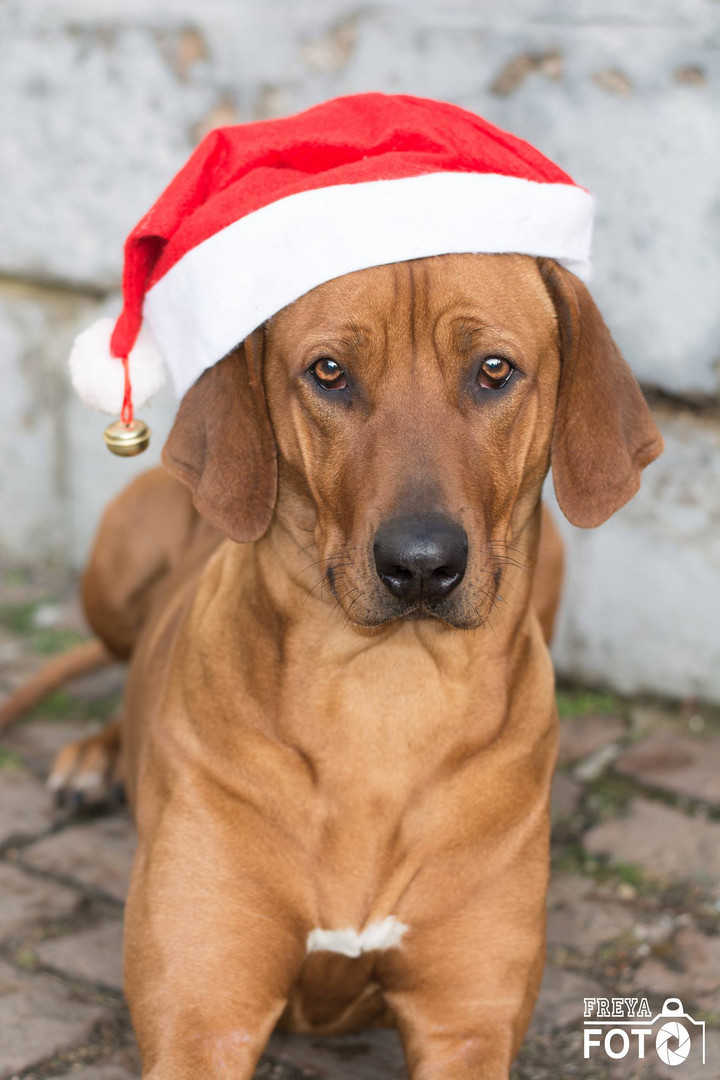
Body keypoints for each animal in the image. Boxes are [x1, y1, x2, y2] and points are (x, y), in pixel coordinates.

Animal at [39, 254, 660, 1080]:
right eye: (329, 372)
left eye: (494, 370)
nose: (423, 563)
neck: (384, 693)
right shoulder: (202, 1019)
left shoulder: (466, 1026)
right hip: (114, 560)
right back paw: (94, 759)